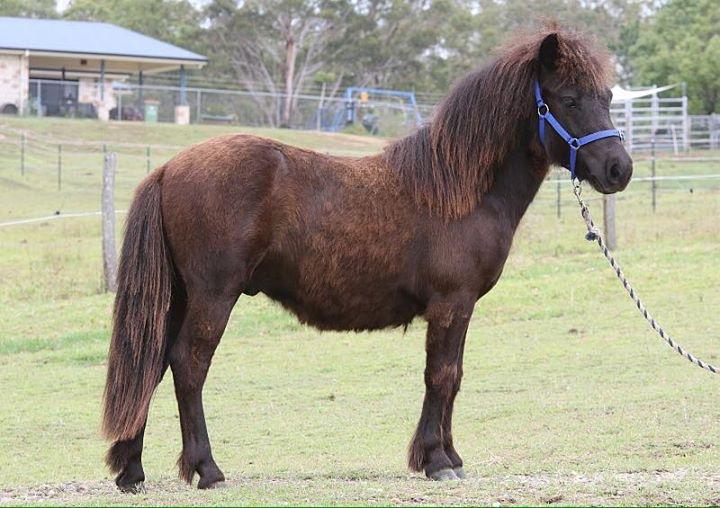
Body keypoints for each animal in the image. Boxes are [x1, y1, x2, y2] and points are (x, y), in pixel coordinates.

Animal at [102, 28, 633, 492]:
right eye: (568, 99)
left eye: (606, 96)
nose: (619, 170)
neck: (459, 187)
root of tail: (168, 168)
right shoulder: (451, 304)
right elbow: (440, 376)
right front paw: (437, 461)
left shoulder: (461, 309)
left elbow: (454, 377)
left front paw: (449, 456)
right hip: (213, 295)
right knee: (188, 365)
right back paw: (207, 470)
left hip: (179, 297)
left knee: (151, 364)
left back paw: (131, 470)